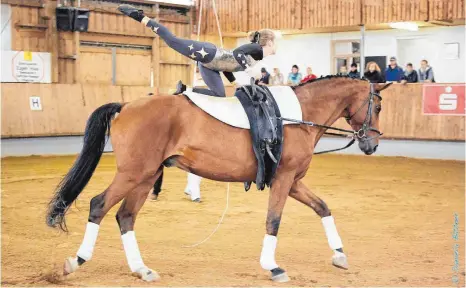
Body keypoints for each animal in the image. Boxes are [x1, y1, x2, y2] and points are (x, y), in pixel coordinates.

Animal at [46, 76, 390, 284]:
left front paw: (340, 255)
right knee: (98, 205)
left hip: (146, 177)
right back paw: (76, 261)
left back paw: (141, 269)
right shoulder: (284, 179)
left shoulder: (293, 182)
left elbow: (323, 207)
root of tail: (126, 105)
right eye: (378, 106)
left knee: (125, 216)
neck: (295, 117)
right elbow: (273, 220)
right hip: (133, 174)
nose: (372, 144)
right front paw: (273, 266)